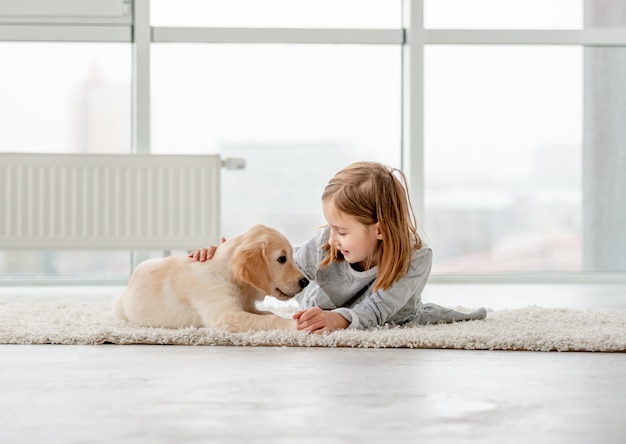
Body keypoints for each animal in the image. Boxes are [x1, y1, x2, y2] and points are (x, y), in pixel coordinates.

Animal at [113, 224, 308, 332]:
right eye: (282, 259)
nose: (305, 282)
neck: (230, 276)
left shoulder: (246, 307)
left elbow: (268, 313)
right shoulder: (226, 315)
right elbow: (270, 319)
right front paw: (295, 325)